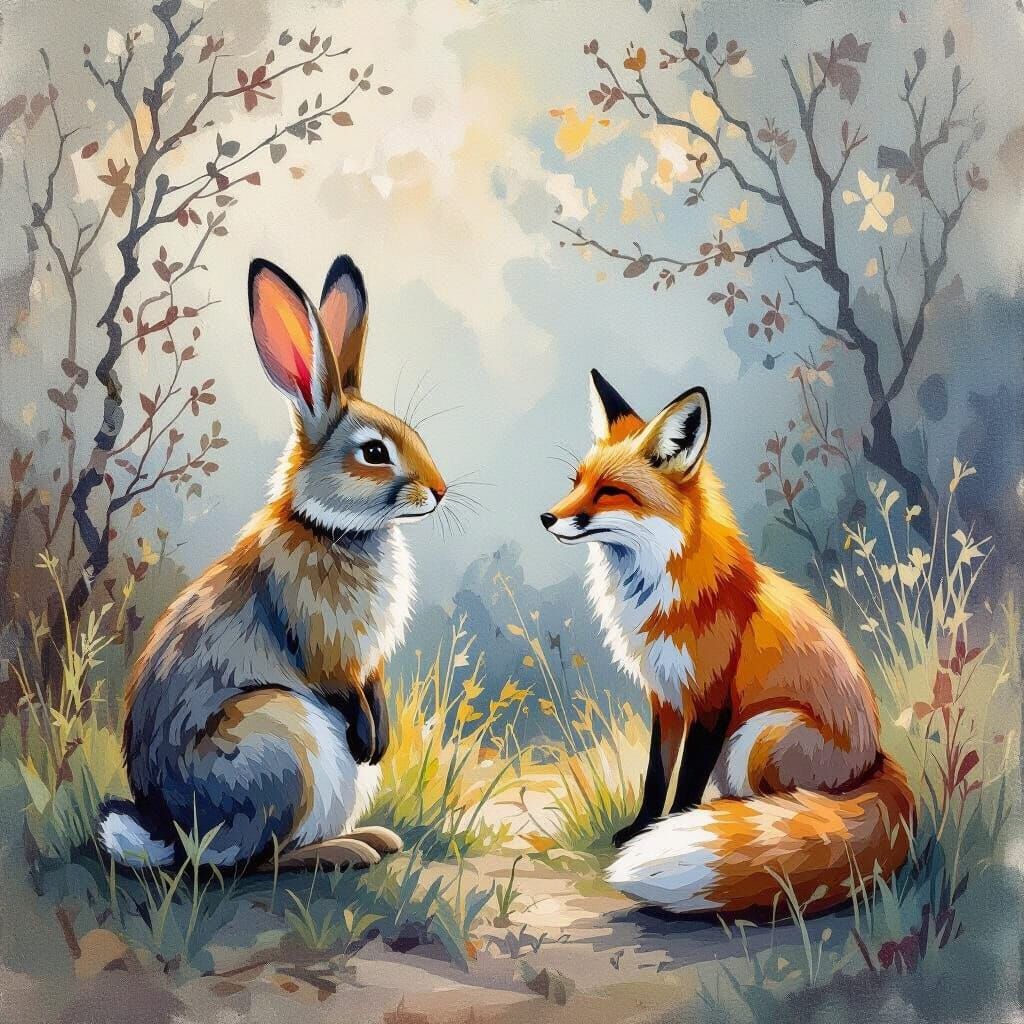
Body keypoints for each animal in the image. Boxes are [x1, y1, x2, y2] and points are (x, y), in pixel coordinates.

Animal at [97, 254, 447, 872]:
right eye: (374, 452)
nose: (441, 491)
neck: (331, 529)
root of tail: (175, 835)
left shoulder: (370, 661)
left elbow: (374, 685)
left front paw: (380, 734)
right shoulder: (322, 642)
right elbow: (339, 682)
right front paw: (369, 737)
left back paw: (375, 839)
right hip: (281, 741)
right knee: (260, 861)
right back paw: (348, 850)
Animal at [540, 370, 914, 916]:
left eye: (609, 492)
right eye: (576, 483)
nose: (546, 518)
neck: (659, 590)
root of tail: (875, 762)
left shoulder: (711, 699)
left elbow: (686, 782)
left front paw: (672, 829)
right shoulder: (666, 696)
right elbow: (656, 774)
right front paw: (640, 829)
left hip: (760, 733)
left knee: (783, 803)